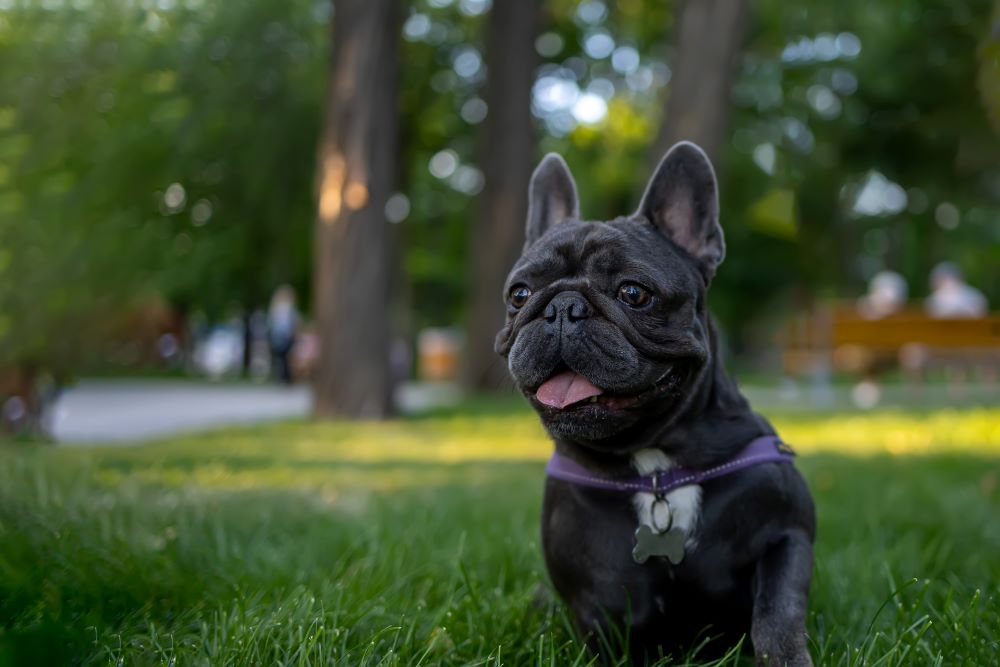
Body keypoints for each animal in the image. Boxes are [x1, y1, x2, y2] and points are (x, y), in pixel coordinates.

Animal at [496, 144, 816, 664]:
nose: (562, 307)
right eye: (519, 294)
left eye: (633, 292)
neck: (655, 467)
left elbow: (778, 612)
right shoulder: (597, 595)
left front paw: (785, 656)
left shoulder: (786, 535)